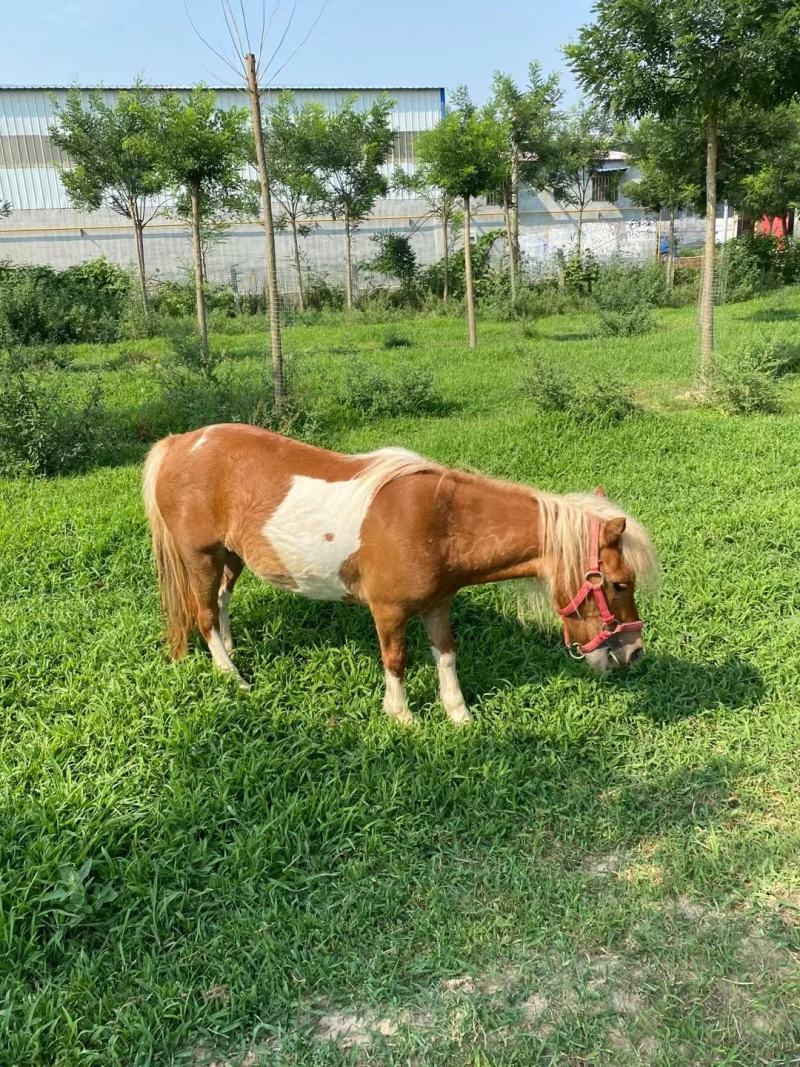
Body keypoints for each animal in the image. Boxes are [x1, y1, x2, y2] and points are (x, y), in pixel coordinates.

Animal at [143, 424, 658, 724]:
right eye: (619, 583)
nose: (633, 653)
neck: (439, 523)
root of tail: (179, 443)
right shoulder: (388, 611)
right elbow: (397, 660)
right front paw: (402, 717)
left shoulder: (437, 605)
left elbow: (446, 656)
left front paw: (459, 715)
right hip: (201, 557)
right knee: (204, 614)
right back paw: (233, 678)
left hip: (230, 557)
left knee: (220, 605)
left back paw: (229, 654)